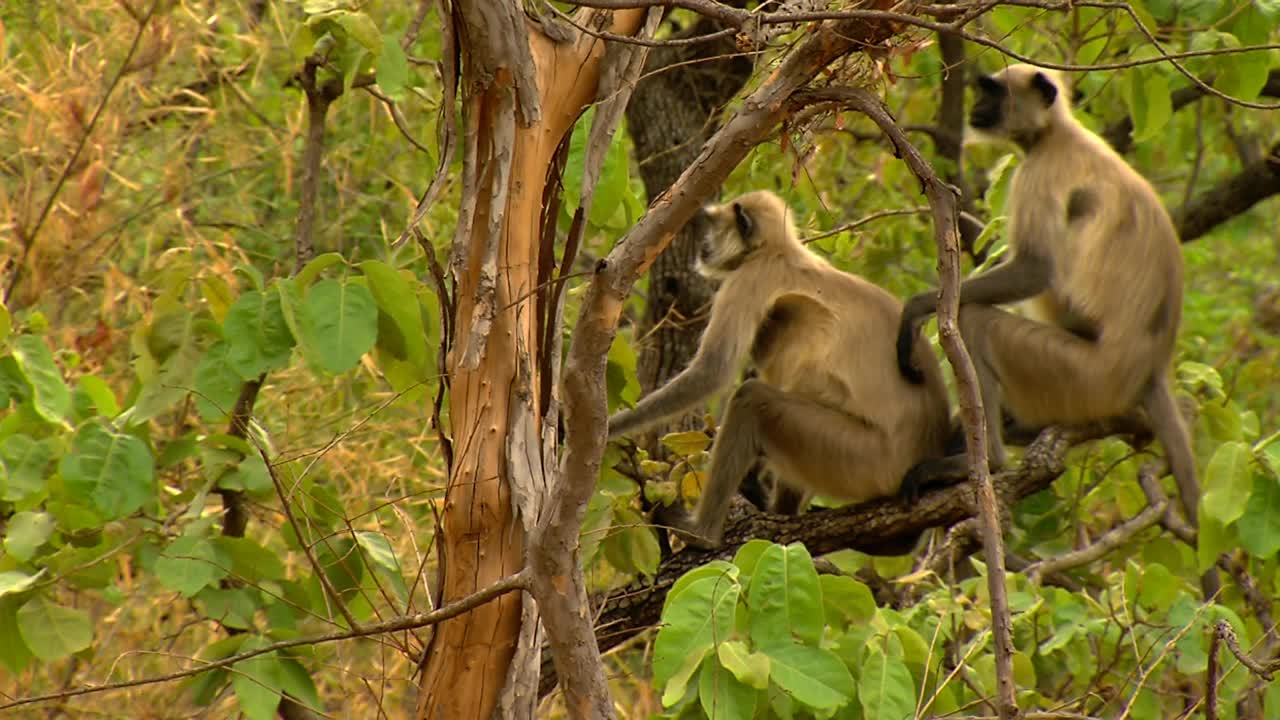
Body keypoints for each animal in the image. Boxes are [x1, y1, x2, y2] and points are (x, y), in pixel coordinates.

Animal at [609, 188, 952, 545]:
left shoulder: (748, 278)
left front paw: (607, 427)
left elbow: (712, 371)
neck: (778, 251)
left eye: (713, 227)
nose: (703, 247)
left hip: (861, 456)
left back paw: (702, 534)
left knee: (752, 398)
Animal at [896, 64, 1203, 525]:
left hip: (1083, 375)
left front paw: (914, 311)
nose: (976, 106)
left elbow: (1036, 269)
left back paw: (989, 458)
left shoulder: (1039, 173)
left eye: (993, 92)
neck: (1056, 134)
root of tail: (1151, 367)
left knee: (977, 318)